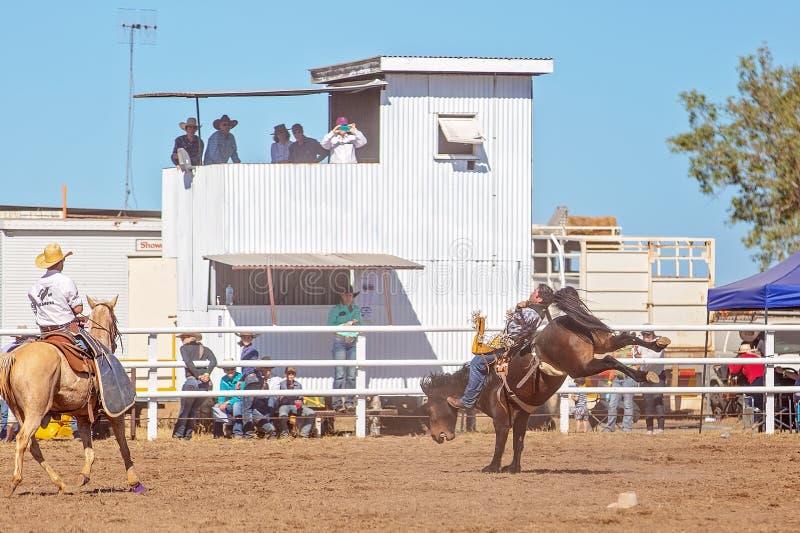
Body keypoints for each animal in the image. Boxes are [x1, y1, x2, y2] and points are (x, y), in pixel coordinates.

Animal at [0, 296, 145, 494]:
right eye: (115, 319)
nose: (115, 343)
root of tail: (13, 357)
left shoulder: (83, 417)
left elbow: (89, 451)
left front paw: (83, 476)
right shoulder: (116, 414)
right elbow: (123, 445)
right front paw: (135, 482)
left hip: (19, 411)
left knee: (33, 445)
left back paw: (60, 483)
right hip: (35, 411)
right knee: (23, 439)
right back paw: (16, 481)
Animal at [422, 284, 672, 472]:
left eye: (430, 411)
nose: (436, 437)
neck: (487, 384)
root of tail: (563, 322)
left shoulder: (501, 419)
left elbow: (500, 443)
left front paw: (492, 468)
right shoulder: (521, 415)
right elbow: (519, 442)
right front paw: (513, 468)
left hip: (581, 367)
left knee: (611, 359)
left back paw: (645, 373)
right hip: (600, 343)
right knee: (626, 338)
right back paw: (656, 347)